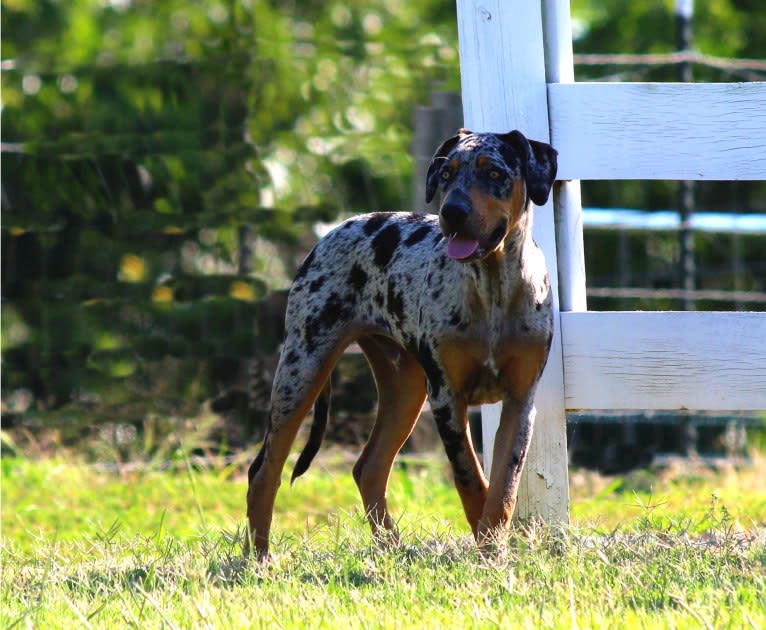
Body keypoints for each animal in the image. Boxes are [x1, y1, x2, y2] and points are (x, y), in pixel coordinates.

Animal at [246, 128, 560, 556]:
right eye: (446, 173)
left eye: (494, 172)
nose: (452, 212)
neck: (493, 289)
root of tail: (337, 229)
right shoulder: (447, 398)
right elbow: (471, 481)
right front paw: (484, 548)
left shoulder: (520, 401)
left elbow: (503, 489)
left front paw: (493, 550)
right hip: (302, 370)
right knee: (264, 470)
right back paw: (260, 559)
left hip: (404, 387)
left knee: (369, 467)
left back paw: (391, 550)